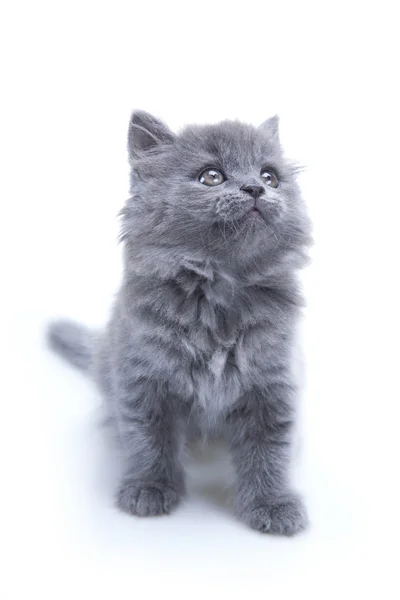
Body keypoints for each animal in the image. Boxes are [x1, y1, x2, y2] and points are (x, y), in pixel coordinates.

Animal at [48, 111, 312, 536]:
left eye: (271, 176)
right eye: (211, 176)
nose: (255, 188)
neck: (218, 291)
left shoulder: (274, 384)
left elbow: (271, 451)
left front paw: (274, 505)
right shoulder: (143, 379)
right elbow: (148, 440)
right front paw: (149, 489)